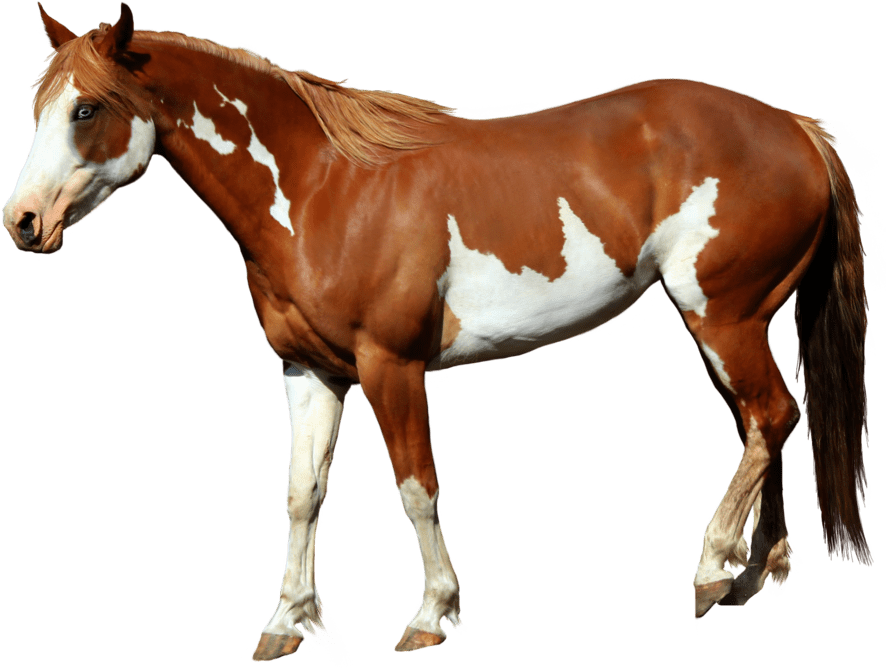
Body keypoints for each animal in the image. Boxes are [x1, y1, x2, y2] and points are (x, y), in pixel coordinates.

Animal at [3, 3, 876, 662]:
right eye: (42, 105)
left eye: (87, 108)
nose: (22, 222)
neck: (324, 187)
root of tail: (795, 126)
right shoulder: (308, 370)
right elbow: (300, 494)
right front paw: (285, 625)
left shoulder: (391, 365)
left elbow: (415, 488)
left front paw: (432, 615)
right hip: (733, 324)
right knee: (764, 425)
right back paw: (761, 570)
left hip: (722, 315)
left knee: (771, 418)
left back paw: (710, 570)